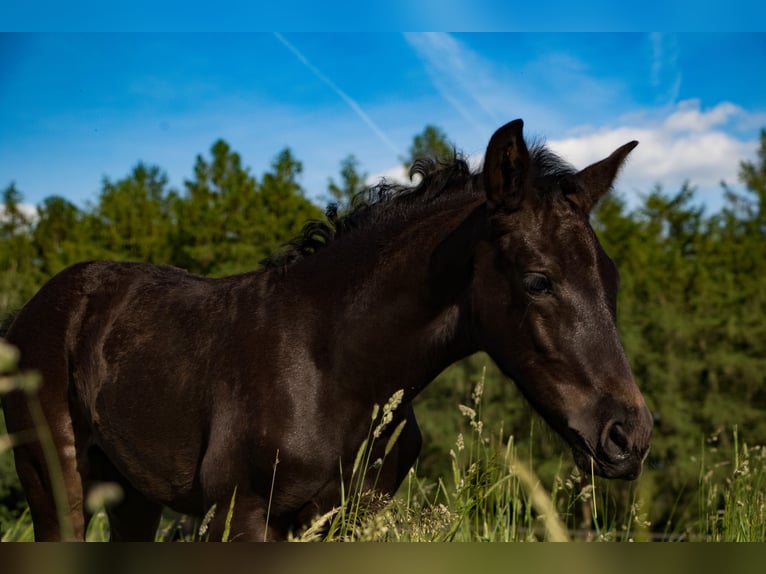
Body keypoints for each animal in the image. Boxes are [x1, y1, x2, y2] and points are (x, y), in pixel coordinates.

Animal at [1, 119, 652, 541]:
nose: (629, 436)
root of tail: (31, 309)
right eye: (538, 280)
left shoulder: (346, 519)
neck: (332, 365)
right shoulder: (237, 515)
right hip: (54, 479)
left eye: (614, 280)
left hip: (130, 494)